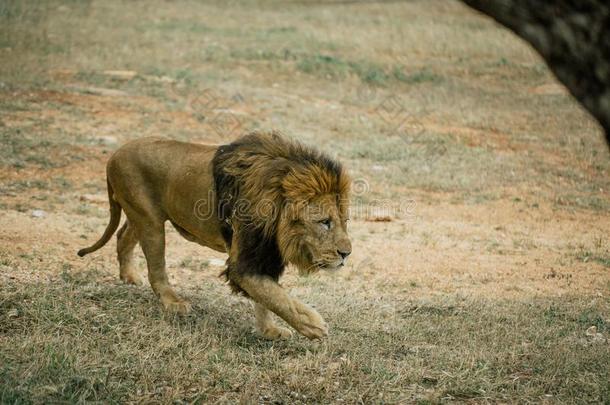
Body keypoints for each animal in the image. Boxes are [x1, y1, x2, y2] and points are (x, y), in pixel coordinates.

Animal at [76, 130, 352, 338]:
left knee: (123, 236)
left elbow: (266, 297)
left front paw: (269, 331)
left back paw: (129, 276)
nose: (346, 254)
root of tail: (115, 154)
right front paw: (312, 324)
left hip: (145, 216)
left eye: (344, 221)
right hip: (150, 221)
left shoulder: (264, 257)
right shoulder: (243, 262)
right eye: (325, 222)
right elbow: (275, 296)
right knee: (156, 269)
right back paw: (173, 303)